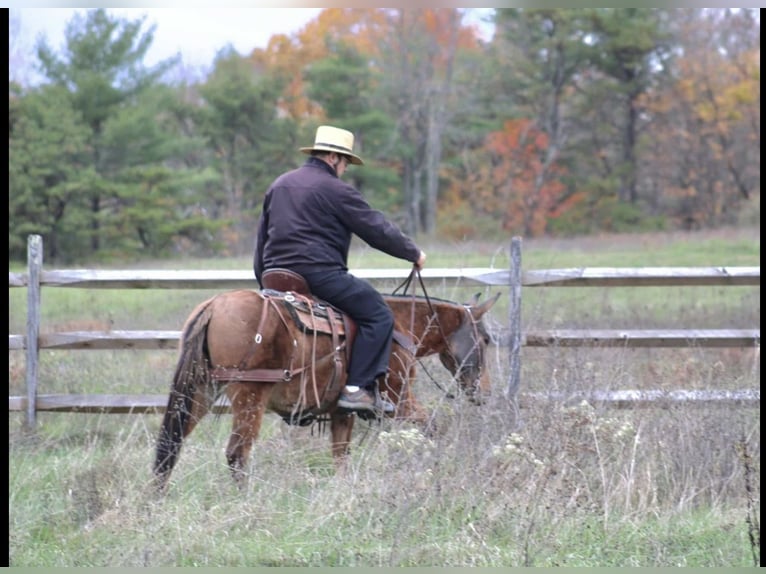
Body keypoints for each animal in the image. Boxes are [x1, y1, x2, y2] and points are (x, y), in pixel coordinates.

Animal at [153, 269, 499, 490]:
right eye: (485, 339)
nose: (484, 392)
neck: (402, 325)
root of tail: (214, 307)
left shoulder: (341, 412)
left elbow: (341, 455)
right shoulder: (401, 399)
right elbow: (433, 428)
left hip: (200, 392)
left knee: (170, 447)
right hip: (249, 397)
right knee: (236, 453)